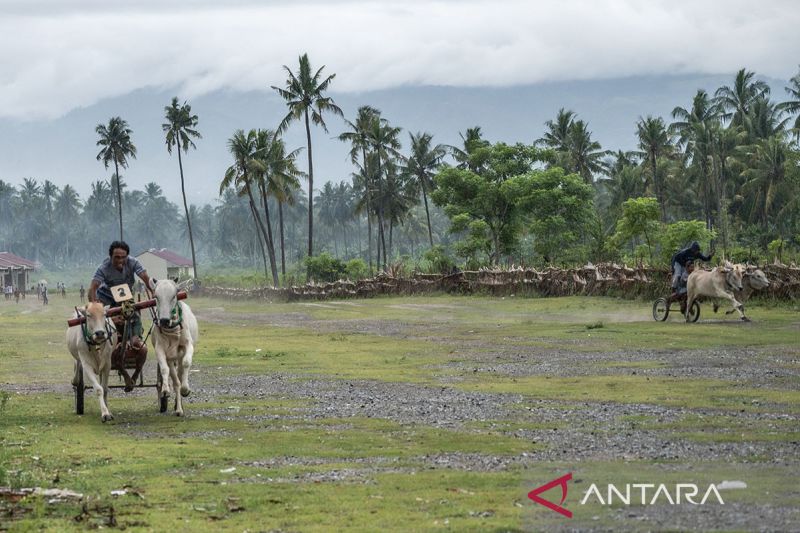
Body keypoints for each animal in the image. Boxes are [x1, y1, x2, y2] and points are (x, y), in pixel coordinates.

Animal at [151, 278, 199, 416]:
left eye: (174, 296)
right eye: (156, 296)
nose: (164, 320)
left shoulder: (188, 345)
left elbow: (187, 363)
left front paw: (186, 389)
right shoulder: (161, 350)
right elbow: (164, 369)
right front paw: (165, 389)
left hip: (180, 355)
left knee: (180, 372)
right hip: (172, 359)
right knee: (175, 379)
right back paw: (178, 409)